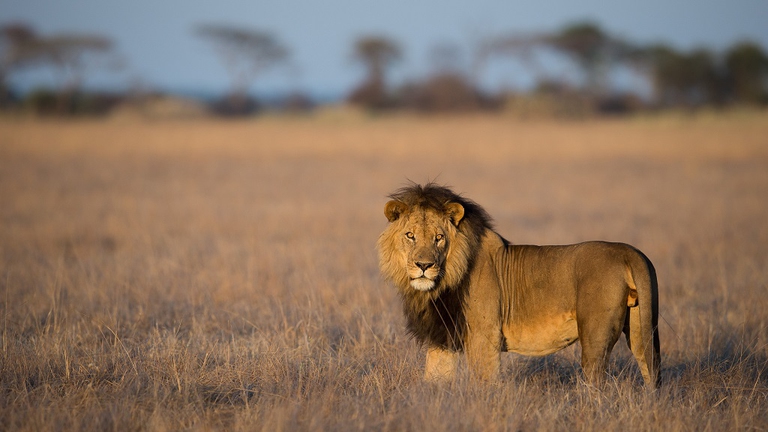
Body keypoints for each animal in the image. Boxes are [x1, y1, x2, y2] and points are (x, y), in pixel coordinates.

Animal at [377, 183, 660, 388]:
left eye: (439, 238)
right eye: (410, 236)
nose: (424, 265)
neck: (442, 284)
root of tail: (628, 252)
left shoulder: (484, 335)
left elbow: (485, 383)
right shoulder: (442, 337)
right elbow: (434, 380)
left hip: (595, 335)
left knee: (596, 382)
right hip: (641, 327)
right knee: (650, 369)